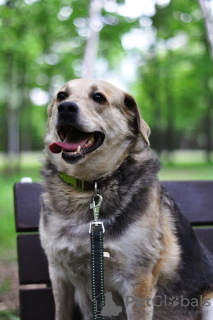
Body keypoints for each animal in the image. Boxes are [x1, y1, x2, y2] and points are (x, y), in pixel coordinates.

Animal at [39, 78, 213, 320]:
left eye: (99, 97)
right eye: (61, 96)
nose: (65, 108)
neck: (90, 186)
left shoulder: (137, 282)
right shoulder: (59, 274)